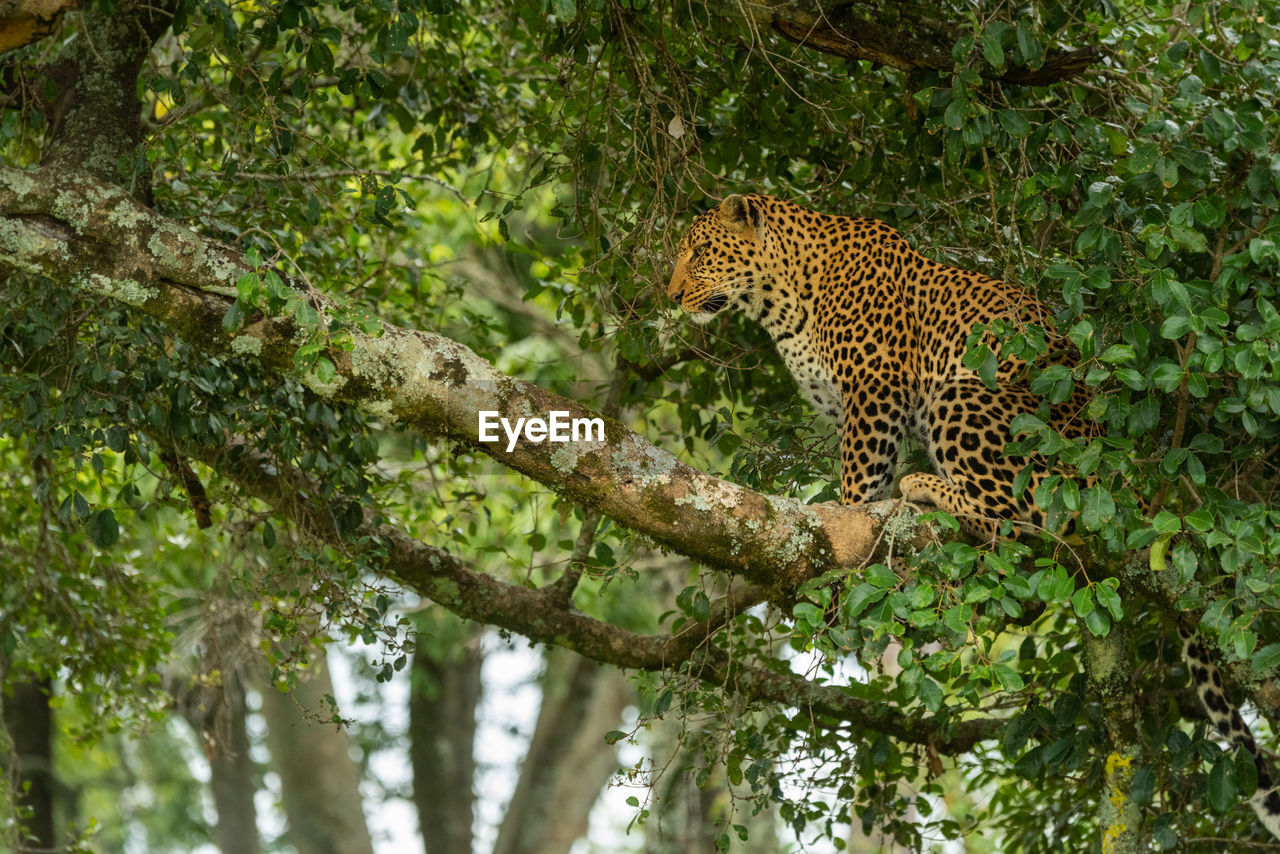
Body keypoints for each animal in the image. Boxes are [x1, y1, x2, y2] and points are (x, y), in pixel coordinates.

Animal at [670, 192, 1280, 839]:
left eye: (699, 251)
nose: (671, 295)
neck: (782, 297)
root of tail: (1123, 478)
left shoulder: (873, 391)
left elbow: (859, 480)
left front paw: (842, 544)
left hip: (970, 399)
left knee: (1016, 519)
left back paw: (926, 486)